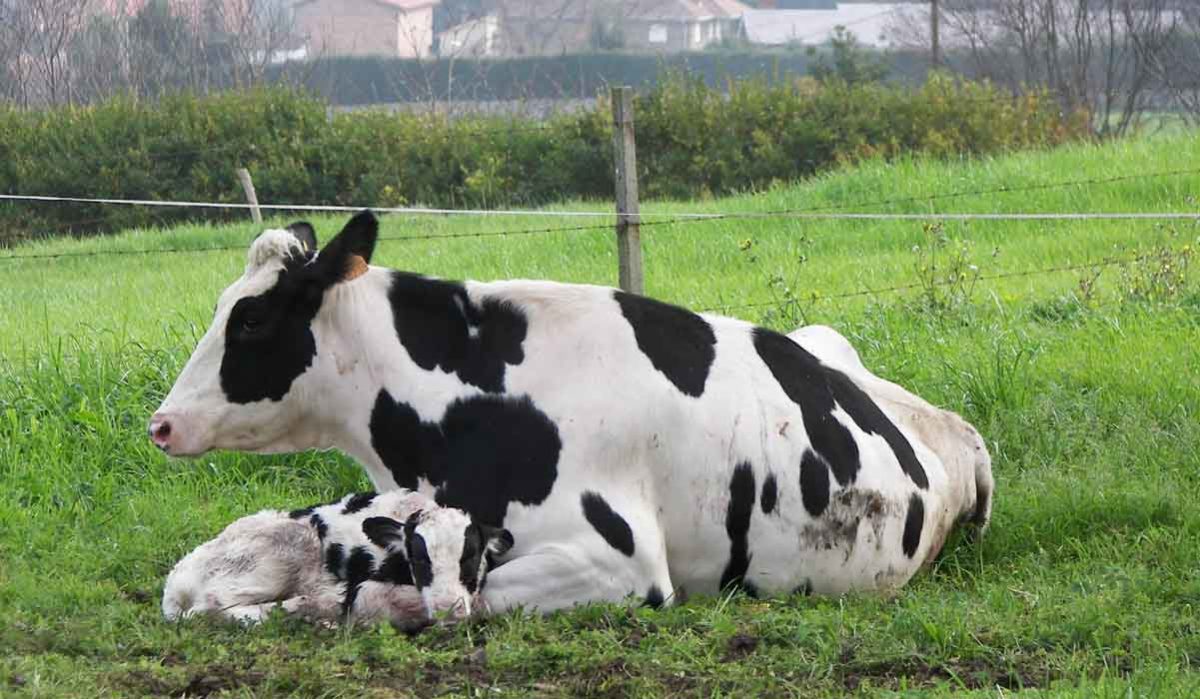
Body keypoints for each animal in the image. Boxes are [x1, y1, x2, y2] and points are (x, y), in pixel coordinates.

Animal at [163, 490, 511, 634]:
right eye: (419, 559)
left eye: (470, 556)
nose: (448, 611)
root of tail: (175, 579)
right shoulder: (368, 589)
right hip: (278, 552)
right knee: (208, 608)